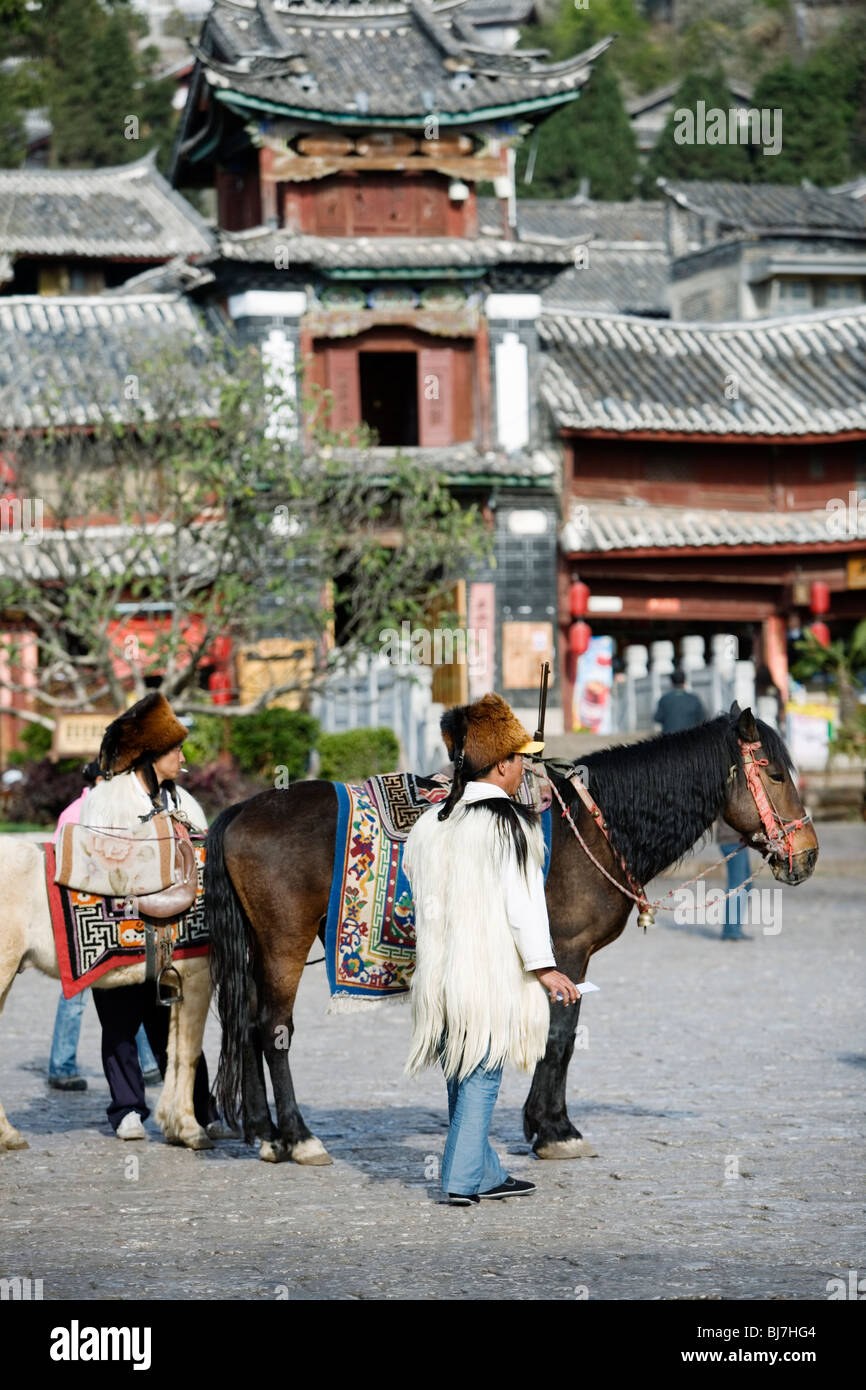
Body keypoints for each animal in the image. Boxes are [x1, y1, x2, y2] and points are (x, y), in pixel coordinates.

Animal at [0, 834, 211, 1150]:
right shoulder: (199, 977)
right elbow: (189, 1053)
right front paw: (190, 1129)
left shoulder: (179, 984)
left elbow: (173, 1051)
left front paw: (173, 1125)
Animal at [207, 706, 817, 1162]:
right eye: (777, 774)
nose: (807, 854)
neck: (593, 826)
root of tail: (242, 809)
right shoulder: (566, 953)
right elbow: (560, 1037)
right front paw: (555, 1130)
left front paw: (545, 1123)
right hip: (285, 943)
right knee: (274, 1029)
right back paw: (298, 1136)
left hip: (262, 946)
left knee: (247, 1024)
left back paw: (264, 1132)